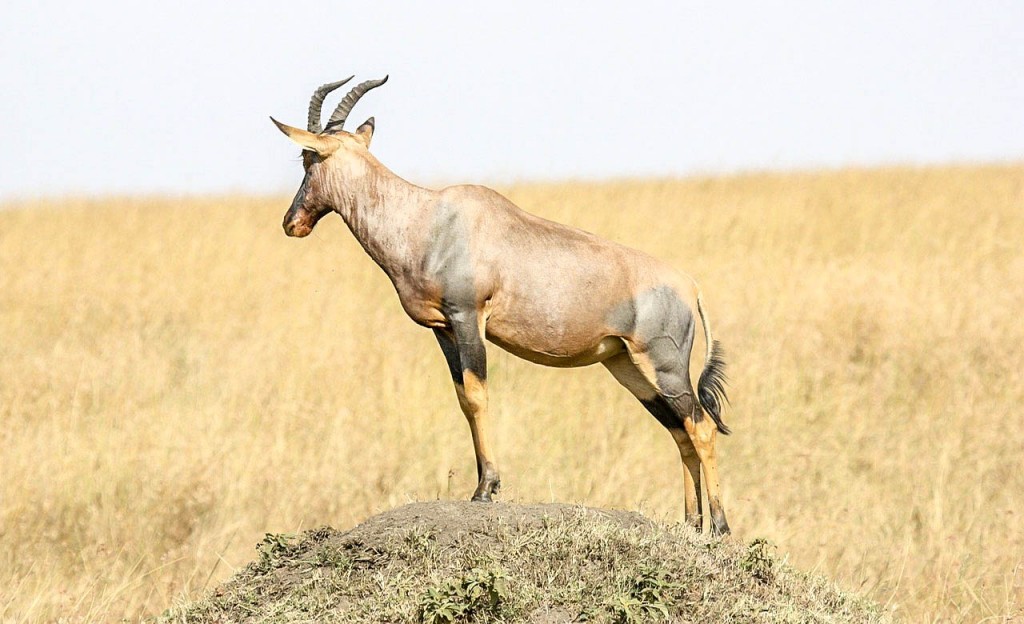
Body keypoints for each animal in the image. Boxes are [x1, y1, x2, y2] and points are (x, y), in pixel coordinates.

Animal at [272, 75, 733, 532]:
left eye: (307, 157)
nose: (292, 223)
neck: (427, 218)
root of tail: (691, 287)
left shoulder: (468, 316)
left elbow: (478, 395)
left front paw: (486, 488)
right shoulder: (443, 329)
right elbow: (463, 398)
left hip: (664, 366)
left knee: (701, 427)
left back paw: (720, 527)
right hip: (627, 367)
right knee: (679, 430)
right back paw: (691, 525)